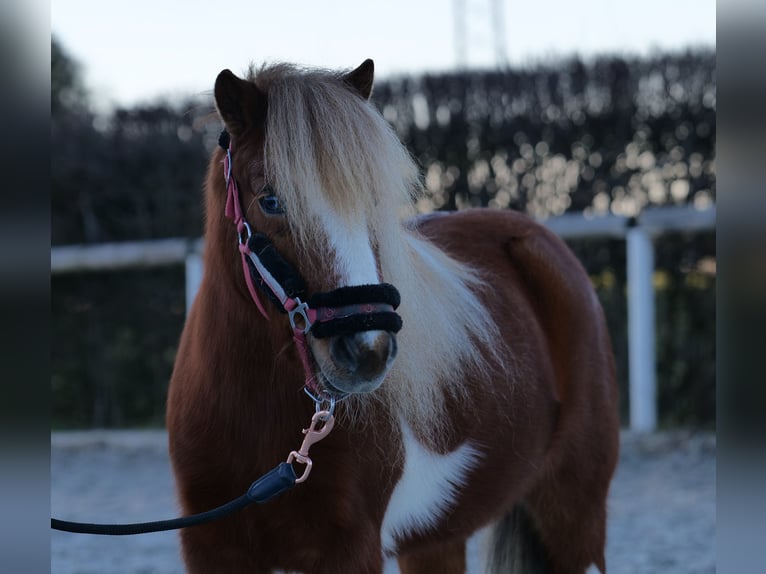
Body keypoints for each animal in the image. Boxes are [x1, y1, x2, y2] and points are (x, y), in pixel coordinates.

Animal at [165, 59, 620, 574]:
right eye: (271, 200)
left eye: (374, 201)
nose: (368, 351)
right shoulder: (211, 549)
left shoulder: (351, 550)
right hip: (439, 539)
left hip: (574, 513)